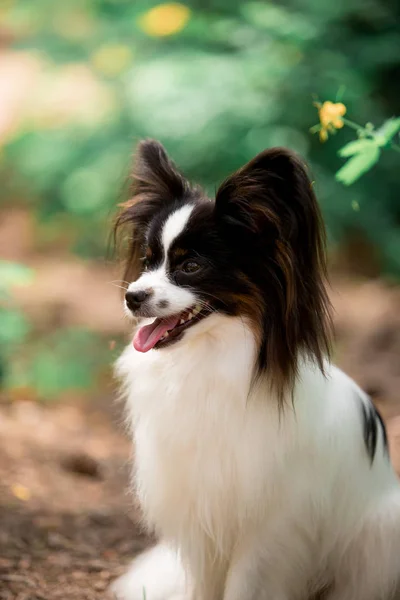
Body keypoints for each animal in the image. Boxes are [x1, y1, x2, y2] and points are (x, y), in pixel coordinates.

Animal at [111, 142, 400, 600]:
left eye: (190, 266)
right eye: (146, 260)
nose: (133, 297)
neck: (210, 359)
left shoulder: (268, 528)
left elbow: (245, 586)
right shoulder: (201, 516)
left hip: (380, 535)